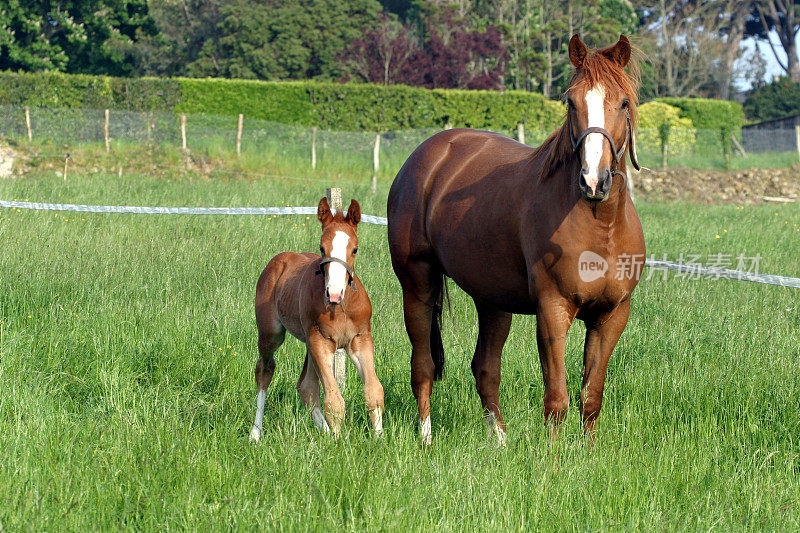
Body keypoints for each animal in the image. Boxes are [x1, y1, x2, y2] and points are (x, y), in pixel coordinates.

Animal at [388, 34, 644, 444]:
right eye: (571, 102)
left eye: (622, 102)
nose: (593, 181)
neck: (600, 229)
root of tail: (427, 155)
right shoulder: (553, 310)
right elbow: (557, 400)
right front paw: (553, 458)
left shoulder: (611, 316)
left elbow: (591, 397)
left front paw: (589, 454)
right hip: (417, 283)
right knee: (423, 365)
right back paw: (426, 438)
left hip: (492, 299)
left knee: (485, 369)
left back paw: (501, 442)